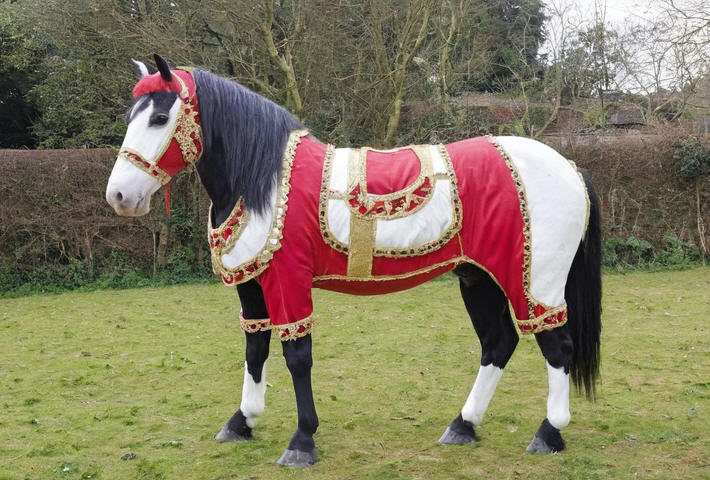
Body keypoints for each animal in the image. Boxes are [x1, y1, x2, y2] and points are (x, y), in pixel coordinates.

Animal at [106, 54, 601, 467]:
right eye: (131, 117)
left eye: (160, 117)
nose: (119, 196)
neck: (264, 179)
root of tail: (569, 167)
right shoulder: (253, 286)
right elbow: (255, 348)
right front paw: (241, 421)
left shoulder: (288, 281)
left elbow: (297, 356)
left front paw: (302, 441)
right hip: (477, 278)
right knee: (498, 343)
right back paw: (463, 425)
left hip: (533, 282)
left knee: (557, 347)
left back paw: (548, 434)